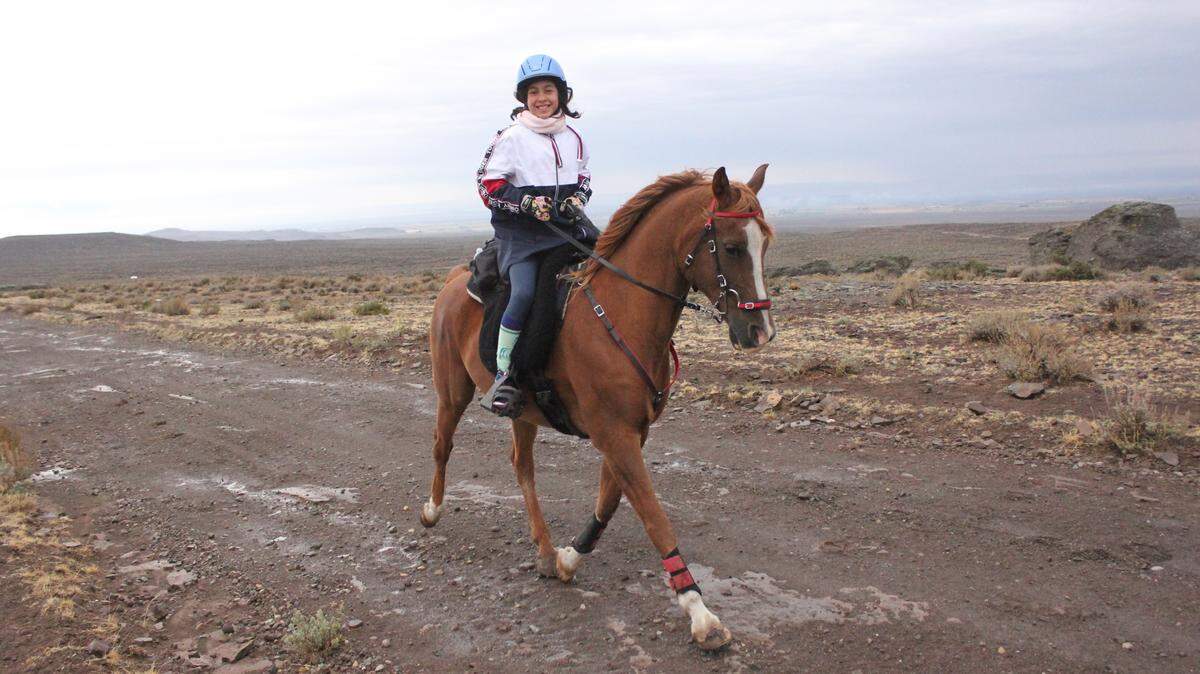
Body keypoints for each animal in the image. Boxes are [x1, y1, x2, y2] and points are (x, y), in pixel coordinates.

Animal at [422, 165, 776, 650]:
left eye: (765, 244)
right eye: (734, 247)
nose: (761, 332)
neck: (623, 312)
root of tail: (457, 279)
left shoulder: (631, 431)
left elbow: (609, 501)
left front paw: (570, 557)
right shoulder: (614, 433)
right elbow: (652, 514)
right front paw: (698, 610)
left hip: (523, 413)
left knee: (522, 466)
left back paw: (545, 550)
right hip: (452, 390)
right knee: (442, 445)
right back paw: (432, 510)